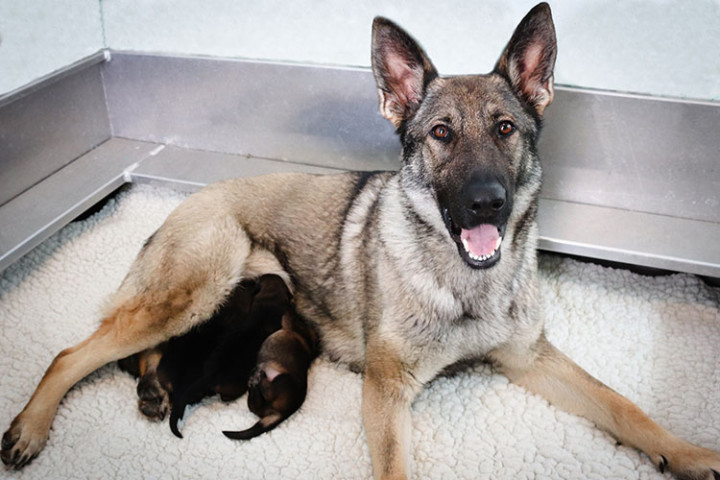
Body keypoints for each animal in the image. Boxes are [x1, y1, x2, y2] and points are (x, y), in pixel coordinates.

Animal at [222, 310, 318, 440]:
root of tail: (283, 413)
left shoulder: (288, 321)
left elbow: (286, 316)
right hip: (264, 404)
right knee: (254, 405)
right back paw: (254, 379)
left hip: (282, 379)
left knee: (262, 391)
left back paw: (257, 376)